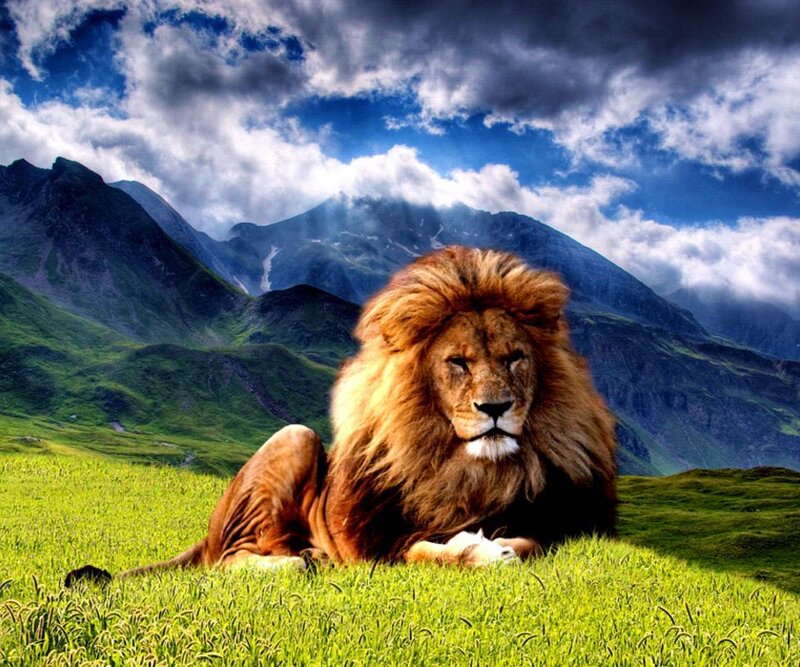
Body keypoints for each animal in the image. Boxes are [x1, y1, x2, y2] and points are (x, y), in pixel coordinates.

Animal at [66, 246, 617, 583]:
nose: (495, 408)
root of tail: (208, 528)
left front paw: (499, 545)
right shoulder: (386, 546)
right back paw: (300, 562)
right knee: (227, 561)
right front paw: (476, 551)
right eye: (458, 362)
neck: (473, 471)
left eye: (514, 358)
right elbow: (431, 553)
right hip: (295, 437)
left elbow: (533, 542)